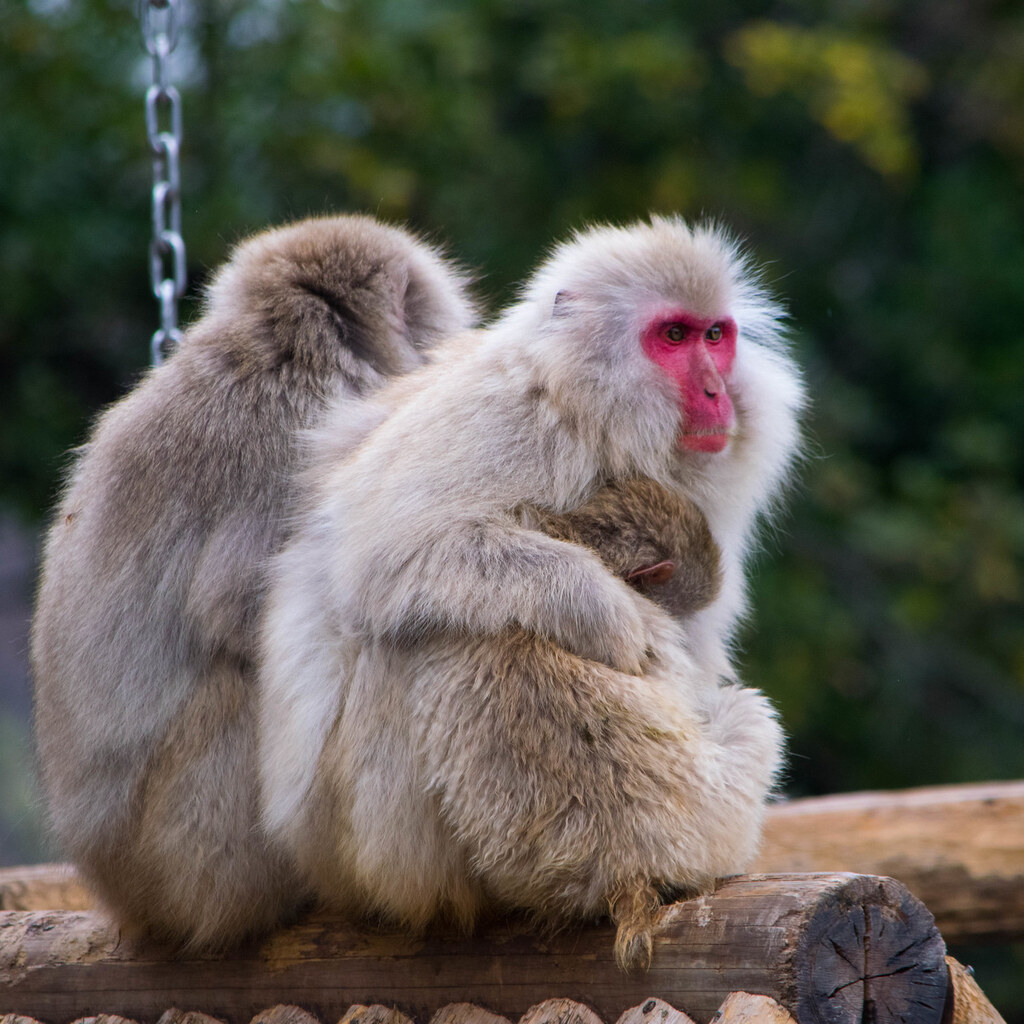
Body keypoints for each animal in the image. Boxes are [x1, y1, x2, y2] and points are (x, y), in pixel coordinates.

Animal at [30, 213, 477, 951]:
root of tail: (117, 891)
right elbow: (248, 612)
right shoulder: (303, 428)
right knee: (254, 680)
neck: (285, 346)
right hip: (189, 852)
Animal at [257, 215, 804, 969]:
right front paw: (613, 615)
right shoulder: (506, 416)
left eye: (716, 335)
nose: (718, 393)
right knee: (468, 630)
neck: (590, 412)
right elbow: (388, 549)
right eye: (673, 336)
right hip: (384, 850)